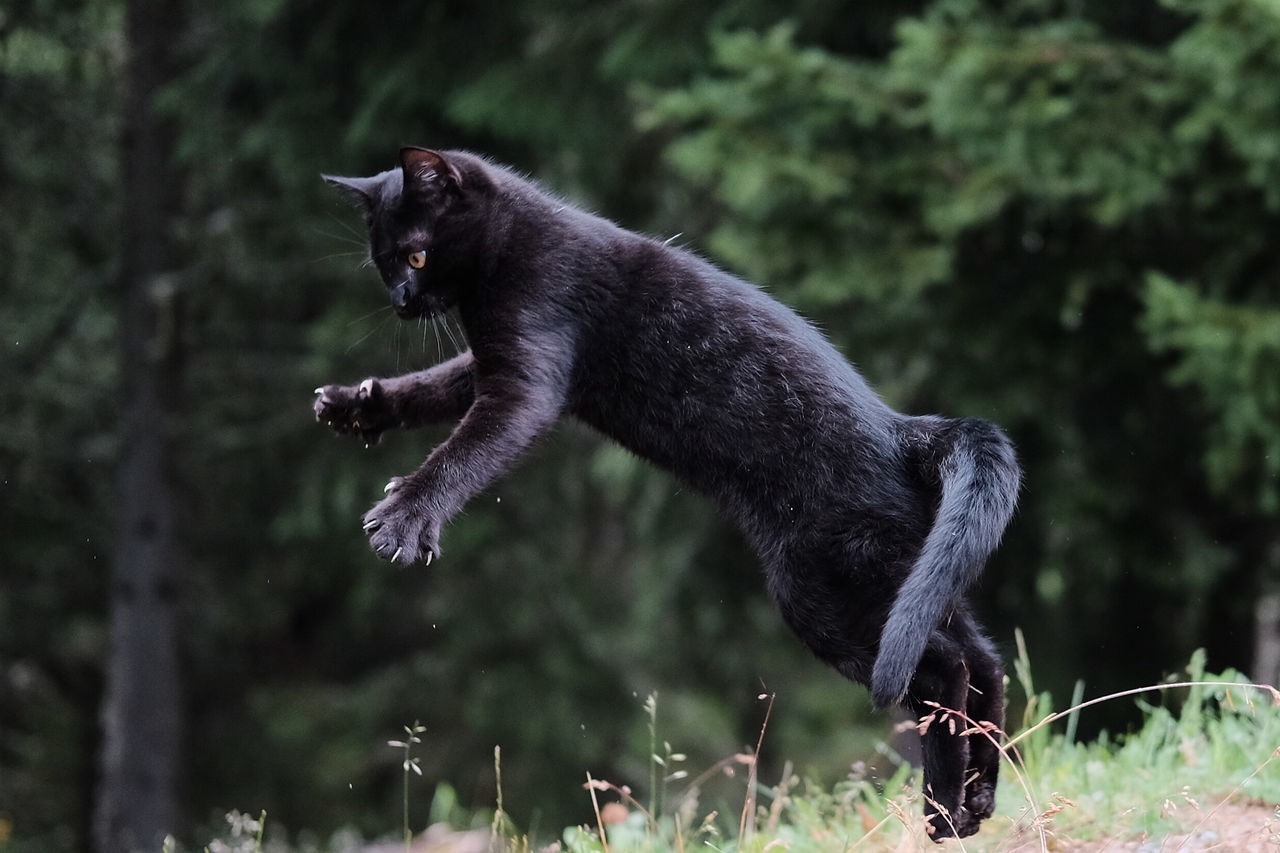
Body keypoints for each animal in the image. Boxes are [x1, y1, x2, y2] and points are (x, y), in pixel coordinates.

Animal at [317, 147, 1018, 835]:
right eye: (383, 263)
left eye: (416, 255)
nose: (400, 299)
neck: (513, 245)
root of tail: (904, 430)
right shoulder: (498, 367)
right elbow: (437, 384)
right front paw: (359, 405)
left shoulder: (527, 377)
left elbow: (464, 450)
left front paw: (405, 516)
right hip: (909, 577)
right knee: (984, 658)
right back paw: (978, 798)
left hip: (827, 591)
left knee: (943, 666)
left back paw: (942, 808)